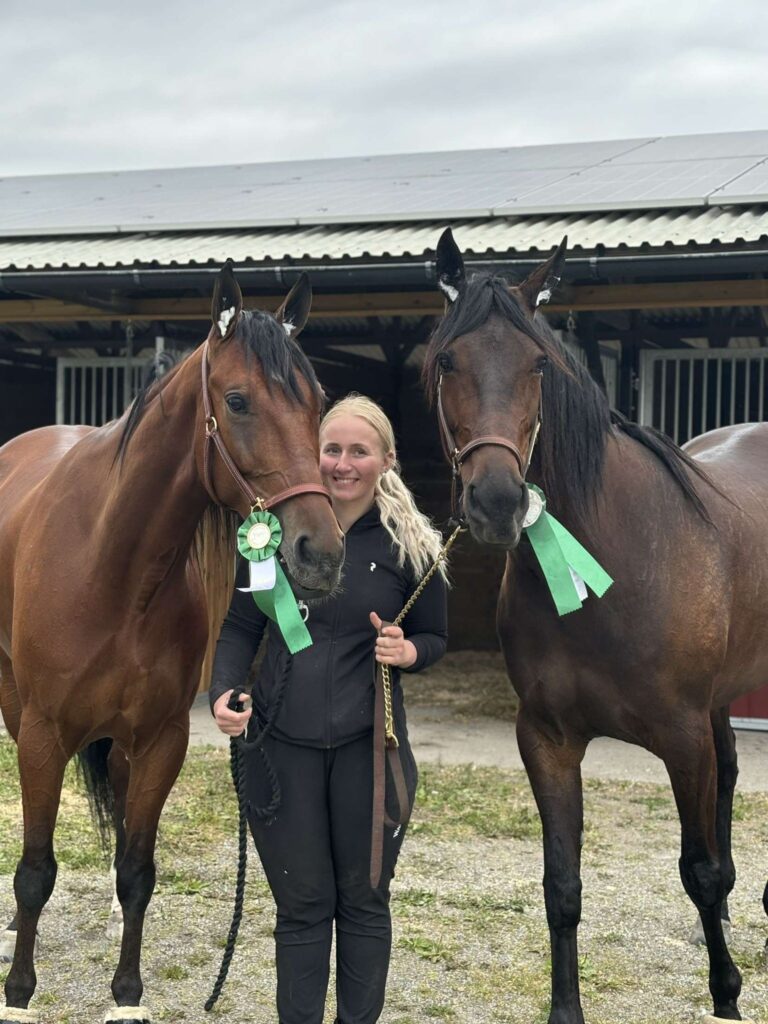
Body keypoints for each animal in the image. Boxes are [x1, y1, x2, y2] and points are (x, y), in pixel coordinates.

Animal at [0, 266, 344, 1024]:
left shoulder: (161, 741)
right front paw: (18, 993)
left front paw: (127, 996)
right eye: (238, 401)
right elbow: (36, 870)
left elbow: (137, 871)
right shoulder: (42, 734)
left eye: (318, 406)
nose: (322, 553)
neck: (114, 567)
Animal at [423, 228, 765, 1019]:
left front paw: (728, 993)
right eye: (447, 359)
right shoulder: (548, 739)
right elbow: (562, 887)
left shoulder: (681, 738)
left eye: (539, 365)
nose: (497, 502)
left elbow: (697, 871)